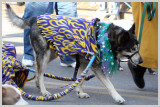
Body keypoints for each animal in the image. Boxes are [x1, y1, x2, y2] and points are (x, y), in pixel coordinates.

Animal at [5, 3, 142, 104]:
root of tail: (34, 19)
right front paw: (117, 97)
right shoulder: (95, 67)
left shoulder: (84, 62)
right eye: (132, 49)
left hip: (51, 54)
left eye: (138, 48)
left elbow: (80, 79)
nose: (141, 61)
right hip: (44, 55)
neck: (105, 38)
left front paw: (79, 92)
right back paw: (44, 91)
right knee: (39, 72)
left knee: (38, 70)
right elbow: (110, 84)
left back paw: (39, 84)